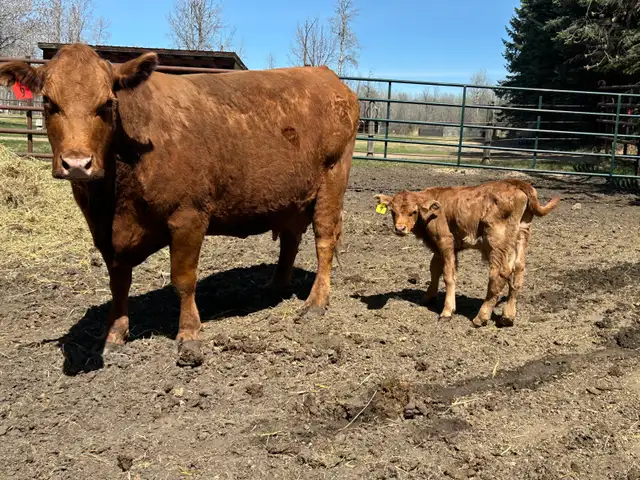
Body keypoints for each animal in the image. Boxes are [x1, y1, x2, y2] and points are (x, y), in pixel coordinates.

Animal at [0, 44, 360, 366]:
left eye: (107, 104)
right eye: (49, 102)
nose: (77, 164)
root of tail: (326, 76)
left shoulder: (188, 216)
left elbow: (183, 279)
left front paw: (189, 336)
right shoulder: (103, 232)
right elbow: (118, 282)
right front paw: (115, 334)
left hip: (332, 181)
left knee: (324, 241)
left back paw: (315, 303)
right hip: (290, 198)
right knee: (290, 240)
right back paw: (274, 287)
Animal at [375, 179, 560, 327]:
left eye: (413, 211)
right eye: (393, 211)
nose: (400, 229)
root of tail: (515, 183)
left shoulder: (445, 240)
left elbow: (448, 275)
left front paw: (447, 311)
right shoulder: (441, 246)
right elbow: (434, 268)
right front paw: (428, 296)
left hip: (496, 240)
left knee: (499, 274)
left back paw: (481, 317)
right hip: (521, 234)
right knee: (518, 270)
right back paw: (507, 316)